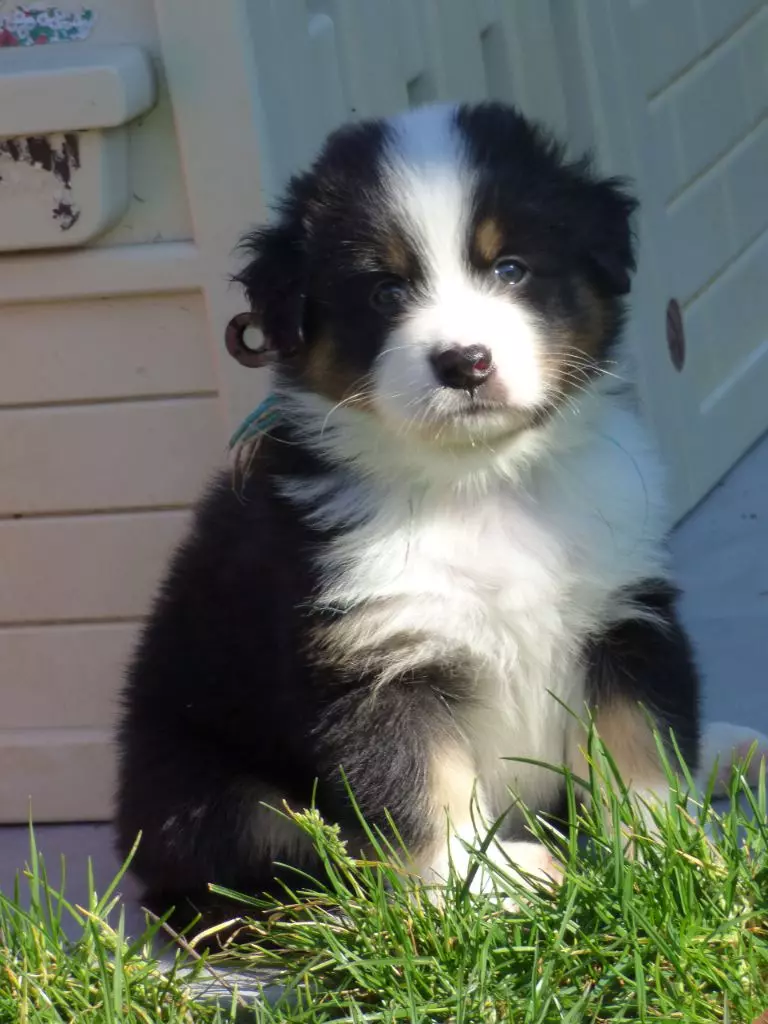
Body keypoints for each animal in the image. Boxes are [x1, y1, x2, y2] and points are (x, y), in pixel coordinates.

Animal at [115, 101, 704, 929]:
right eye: (385, 292)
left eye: (511, 268)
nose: (465, 363)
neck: (479, 483)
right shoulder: (377, 662)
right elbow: (424, 788)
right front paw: (483, 894)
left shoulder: (624, 615)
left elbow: (641, 748)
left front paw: (671, 861)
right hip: (213, 791)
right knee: (274, 870)